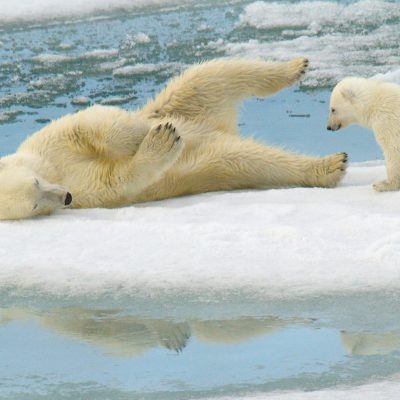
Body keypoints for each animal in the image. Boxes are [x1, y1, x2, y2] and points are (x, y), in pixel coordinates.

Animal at [0, 57, 346, 219]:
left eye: (36, 182)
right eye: (34, 204)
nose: (66, 197)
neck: (54, 170)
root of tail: (221, 125)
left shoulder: (48, 141)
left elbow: (91, 124)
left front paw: (153, 131)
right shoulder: (90, 194)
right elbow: (118, 180)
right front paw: (163, 142)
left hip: (188, 99)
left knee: (213, 75)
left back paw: (294, 67)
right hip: (218, 161)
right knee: (253, 160)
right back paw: (329, 165)